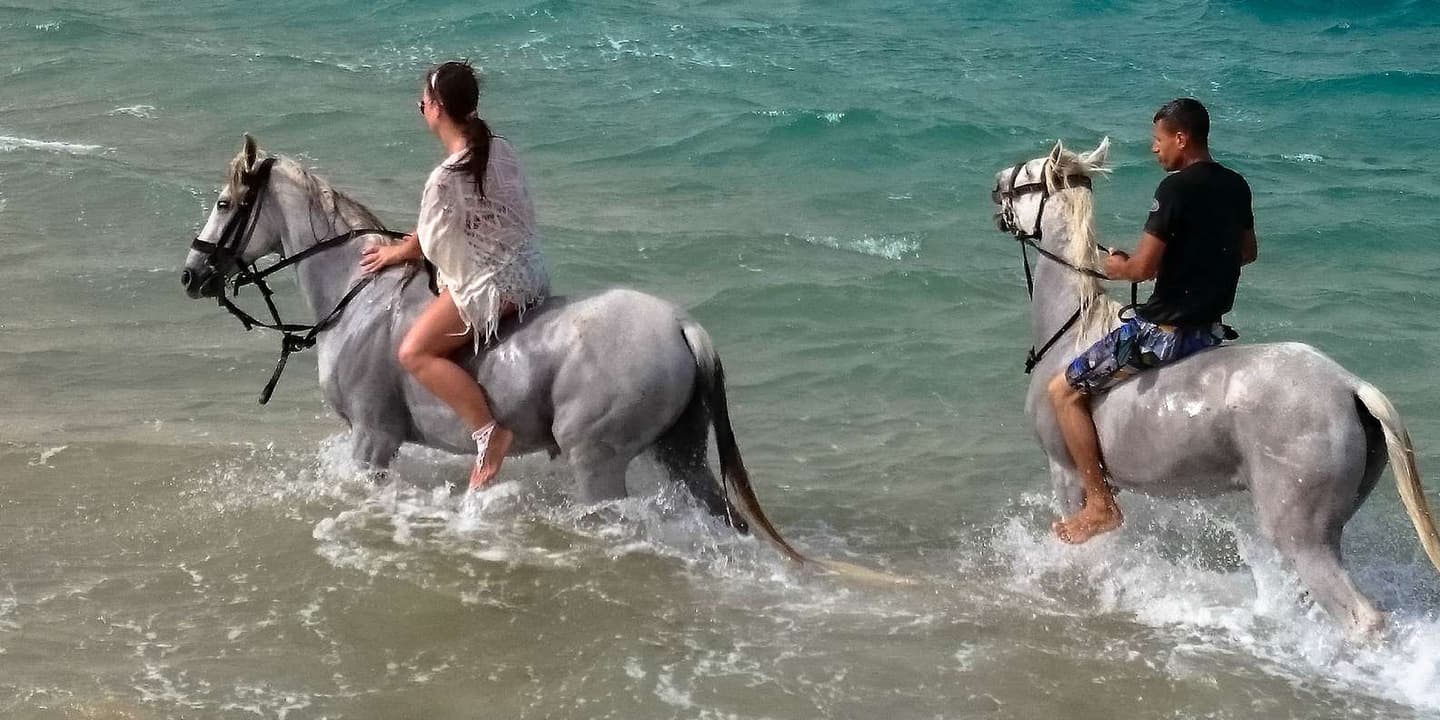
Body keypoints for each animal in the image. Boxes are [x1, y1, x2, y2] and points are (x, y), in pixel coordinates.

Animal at [179, 135, 884, 579]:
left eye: (223, 203)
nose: (191, 275)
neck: (361, 296)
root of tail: (683, 325)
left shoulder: (373, 440)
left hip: (597, 459)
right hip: (679, 453)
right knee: (722, 519)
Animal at [990, 138, 1440, 634]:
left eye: (1026, 177)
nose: (994, 186)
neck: (1073, 330)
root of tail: (1348, 385)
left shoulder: (1067, 472)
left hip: (1299, 532)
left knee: (1362, 617)